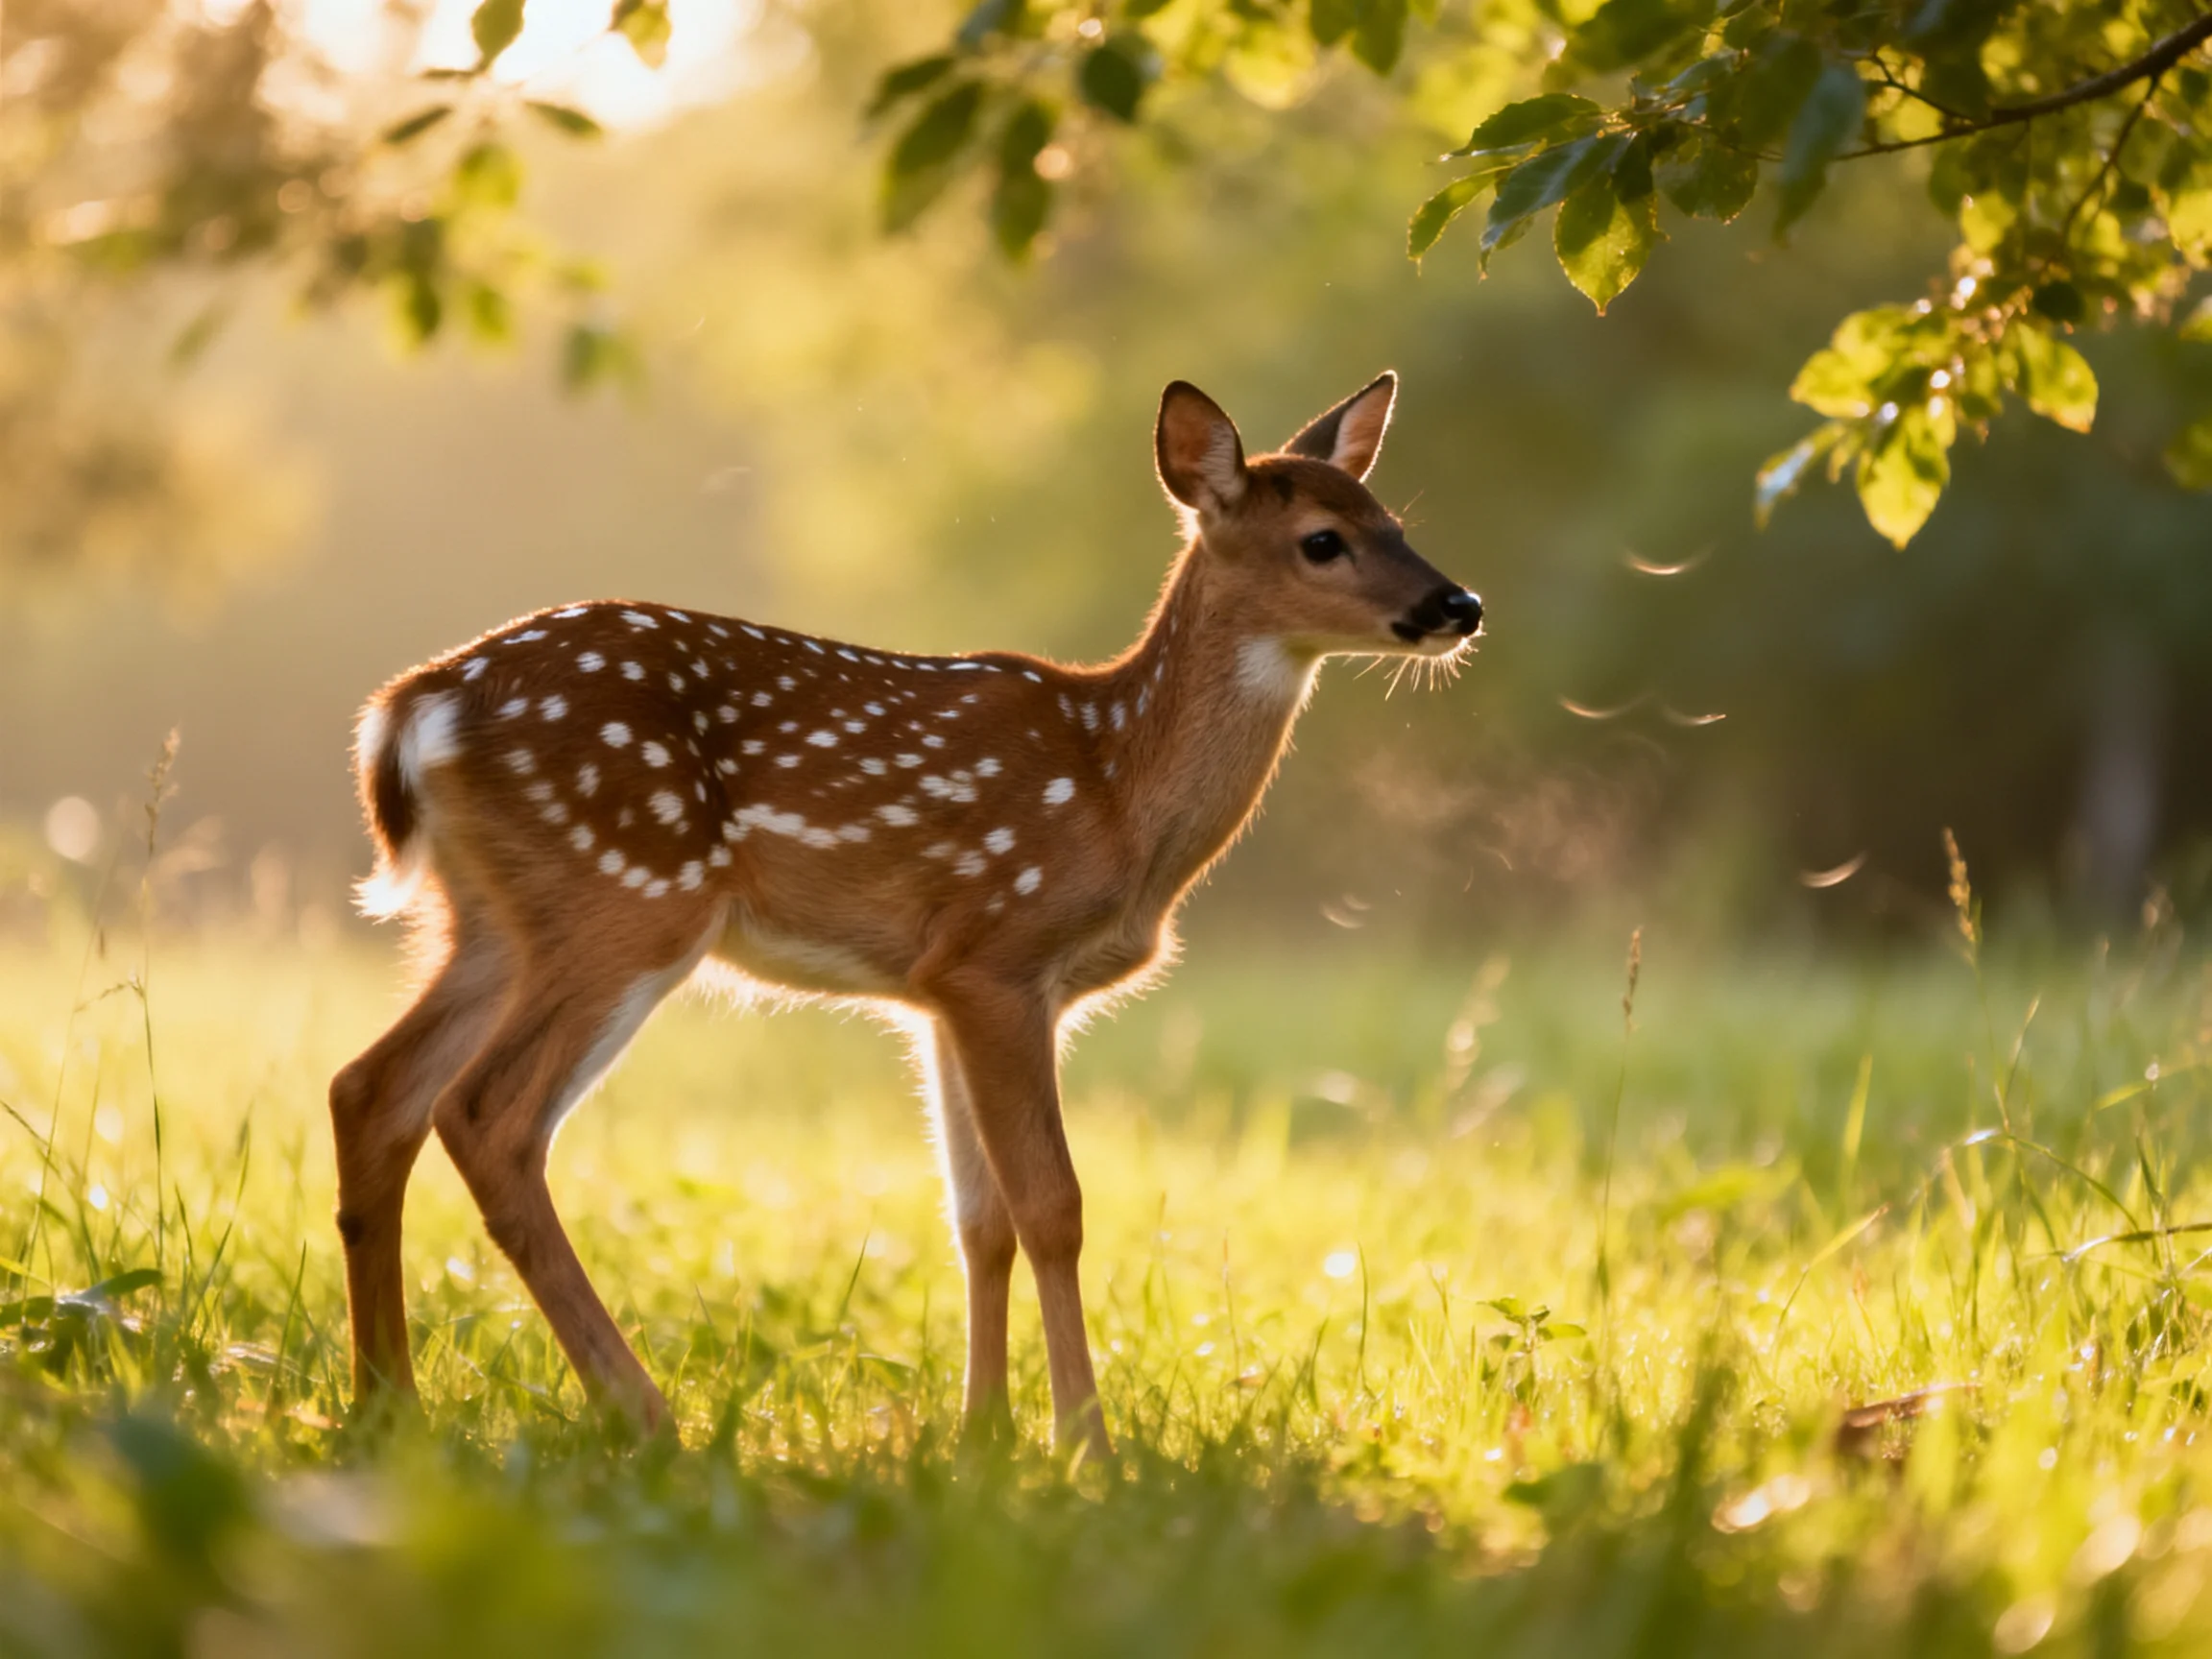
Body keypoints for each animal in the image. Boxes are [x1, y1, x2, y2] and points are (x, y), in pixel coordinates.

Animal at [330, 373, 1483, 1454]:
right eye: (1323, 540)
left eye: (1395, 519)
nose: (1460, 605)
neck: (1117, 791)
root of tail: (415, 705)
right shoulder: (999, 956)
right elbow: (1053, 1208)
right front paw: (1085, 1446)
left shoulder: (937, 993)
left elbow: (979, 1220)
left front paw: (984, 1439)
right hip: (626, 897)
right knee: (487, 1115)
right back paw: (644, 1415)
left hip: (489, 921)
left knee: (372, 1088)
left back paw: (389, 1409)